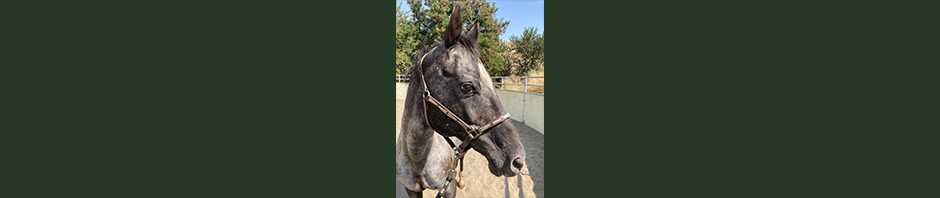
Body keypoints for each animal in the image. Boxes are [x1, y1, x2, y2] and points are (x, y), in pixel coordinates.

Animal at [398, 2, 528, 198]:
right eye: (467, 87)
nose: (518, 160)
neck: (417, 158)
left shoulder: (448, 189)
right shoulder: (411, 189)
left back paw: (463, 182)